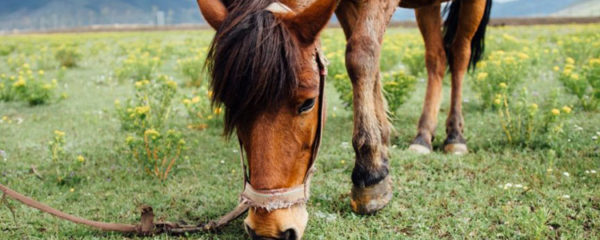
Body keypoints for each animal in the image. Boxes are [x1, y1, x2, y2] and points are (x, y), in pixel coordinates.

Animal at [197, 0, 492, 238]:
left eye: (308, 103)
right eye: (231, 107)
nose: (268, 229)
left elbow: (360, 54)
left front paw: (370, 172)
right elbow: (369, 58)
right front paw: (381, 146)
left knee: (460, 53)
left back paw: (455, 135)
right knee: (436, 58)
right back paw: (423, 136)